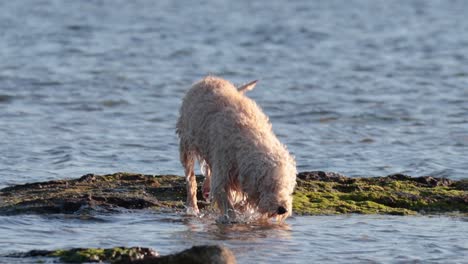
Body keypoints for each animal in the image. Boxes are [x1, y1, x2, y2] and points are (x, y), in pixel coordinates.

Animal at [176, 76, 296, 223]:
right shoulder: (223, 170)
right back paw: (192, 205)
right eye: (270, 185)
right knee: (190, 179)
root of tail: (208, 78)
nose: (282, 209)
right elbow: (226, 202)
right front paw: (231, 218)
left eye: (287, 187)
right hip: (187, 143)